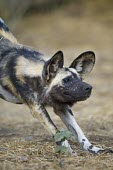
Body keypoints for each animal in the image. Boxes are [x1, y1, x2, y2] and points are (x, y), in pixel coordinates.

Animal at [0, 18, 103, 154]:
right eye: (67, 79)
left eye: (79, 78)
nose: (89, 88)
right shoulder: (37, 109)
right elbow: (57, 132)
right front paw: (68, 151)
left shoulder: (62, 107)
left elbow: (79, 131)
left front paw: (92, 148)